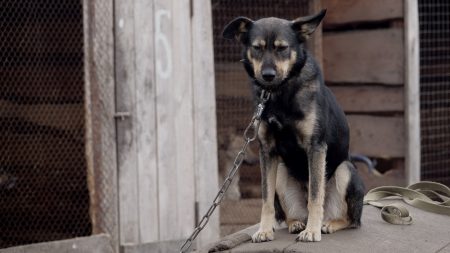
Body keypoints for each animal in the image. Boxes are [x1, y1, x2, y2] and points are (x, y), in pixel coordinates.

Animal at [222, 9, 366, 243]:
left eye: (282, 48)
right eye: (257, 48)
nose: (268, 75)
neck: (279, 94)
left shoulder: (316, 147)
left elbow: (315, 196)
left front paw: (312, 231)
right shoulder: (267, 151)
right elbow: (266, 198)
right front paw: (264, 229)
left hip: (346, 170)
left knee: (350, 219)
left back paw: (327, 224)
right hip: (281, 172)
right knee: (291, 213)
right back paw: (297, 223)